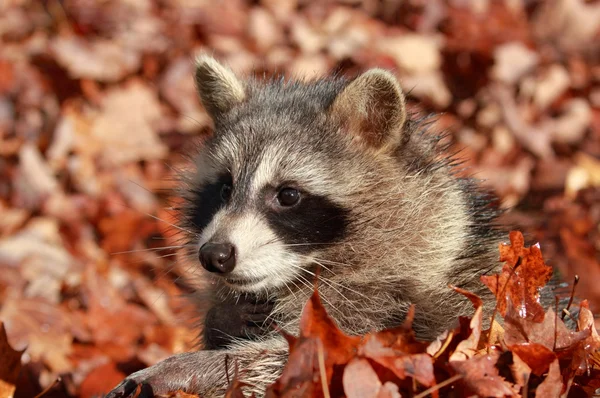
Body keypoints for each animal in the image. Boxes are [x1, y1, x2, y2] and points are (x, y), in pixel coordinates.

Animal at [106, 54, 502, 396]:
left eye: (288, 195)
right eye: (224, 188)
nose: (214, 255)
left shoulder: (386, 318)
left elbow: (291, 363)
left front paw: (187, 369)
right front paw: (223, 319)